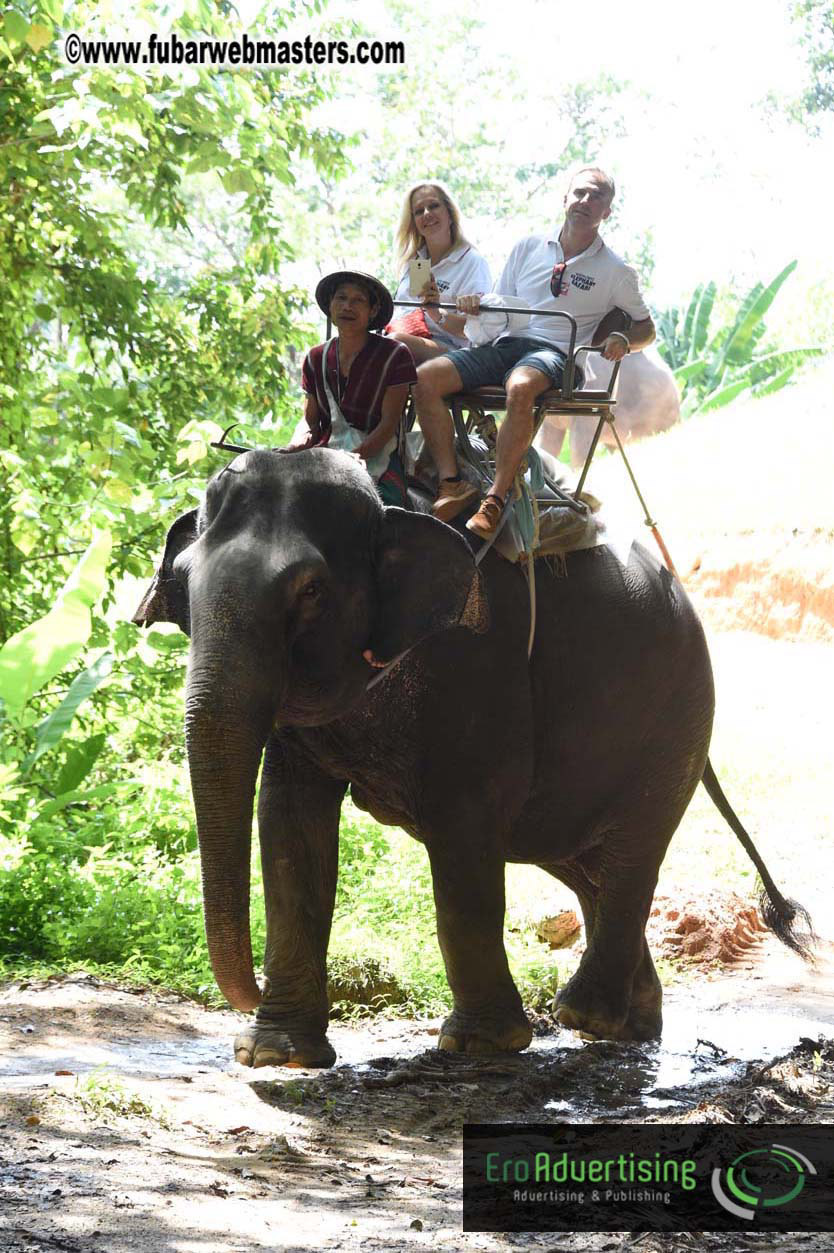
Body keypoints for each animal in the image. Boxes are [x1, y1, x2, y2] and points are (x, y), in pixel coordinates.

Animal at [132, 447, 810, 1068]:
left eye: (310, 590)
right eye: (182, 585)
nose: (247, 996)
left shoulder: (478, 663)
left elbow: (464, 830)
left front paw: (480, 1045)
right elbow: (288, 825)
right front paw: (277, 1054)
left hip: (675, 722)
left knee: (631, 849)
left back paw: (585, 1015)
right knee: (581, 861)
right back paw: (632, 1024)